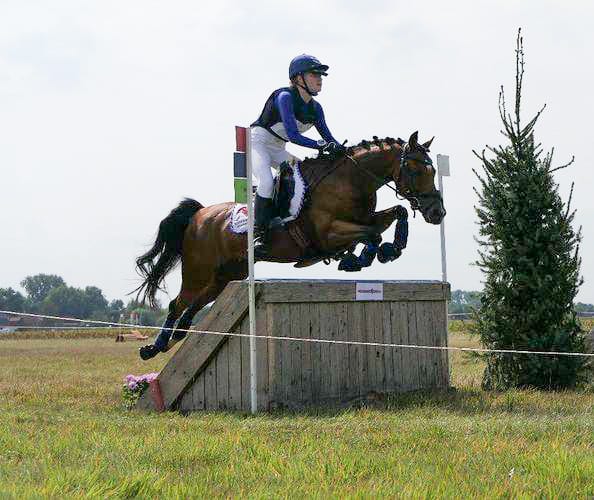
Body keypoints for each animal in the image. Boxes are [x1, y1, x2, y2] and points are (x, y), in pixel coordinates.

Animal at [135, 133, 444, 360]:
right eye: (414, 169)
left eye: (433, 170)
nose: (437, 212)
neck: (351, 181)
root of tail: (199, 214)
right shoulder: (328, 233)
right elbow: (371, 235)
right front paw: (360, 258)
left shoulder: (367, 219)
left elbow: (396, 214)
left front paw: (389, 250)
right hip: (199, 270)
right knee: (178, 302)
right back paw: (153, 347)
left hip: (226, 275)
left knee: (194, 305)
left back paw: (171, 339)